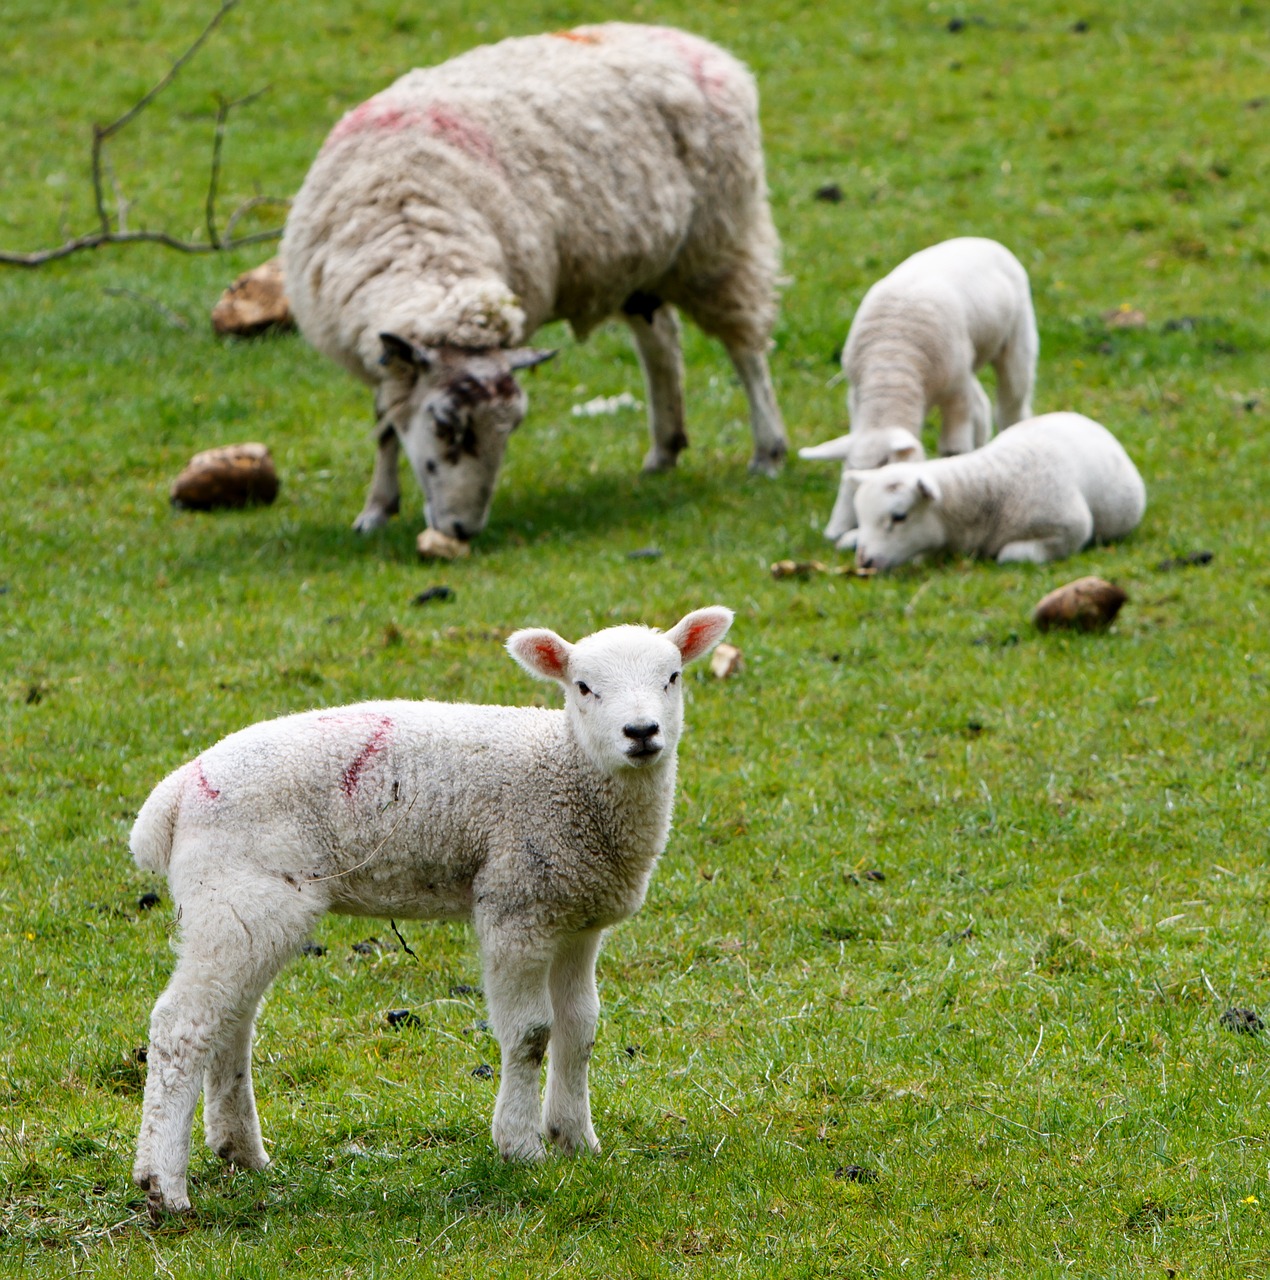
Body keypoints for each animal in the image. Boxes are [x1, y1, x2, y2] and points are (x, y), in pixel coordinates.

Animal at [129, 604, 732, 1213]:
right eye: (584, 687)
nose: (642, 732)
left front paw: (575, 1140)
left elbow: (579, 1028)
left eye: (672, 677)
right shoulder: (517, 903)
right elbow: (531, 1032)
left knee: (230, 1020)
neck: (567, 771)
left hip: (244, 909)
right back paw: (163, 1184)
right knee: (182, 1027)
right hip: (238, 893)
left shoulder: (577, 914)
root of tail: (175, 795)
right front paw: (521, 1147)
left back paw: (241, 1151)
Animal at [282, 21, 788, 540]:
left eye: (512, 428)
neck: (415, 234)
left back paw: (768, 451)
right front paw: (376, 509)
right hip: (642, 263)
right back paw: (664, 449)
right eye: (445, 425)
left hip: (719, 240)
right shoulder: (387, 360)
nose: (463, 530)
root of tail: (701, 47)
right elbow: (385, 426)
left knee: (746, 350)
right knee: (662, 342)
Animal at [803, 238, 1039, 547]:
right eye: (850, 473)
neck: (893, 364)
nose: (836, 533)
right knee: (982, 403)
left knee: (1012, 404)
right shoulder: (856, 399)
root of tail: (978, 239)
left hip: (1016, 341)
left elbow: (952, 450)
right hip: (967, 362)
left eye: (887, 470)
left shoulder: (955, 394)